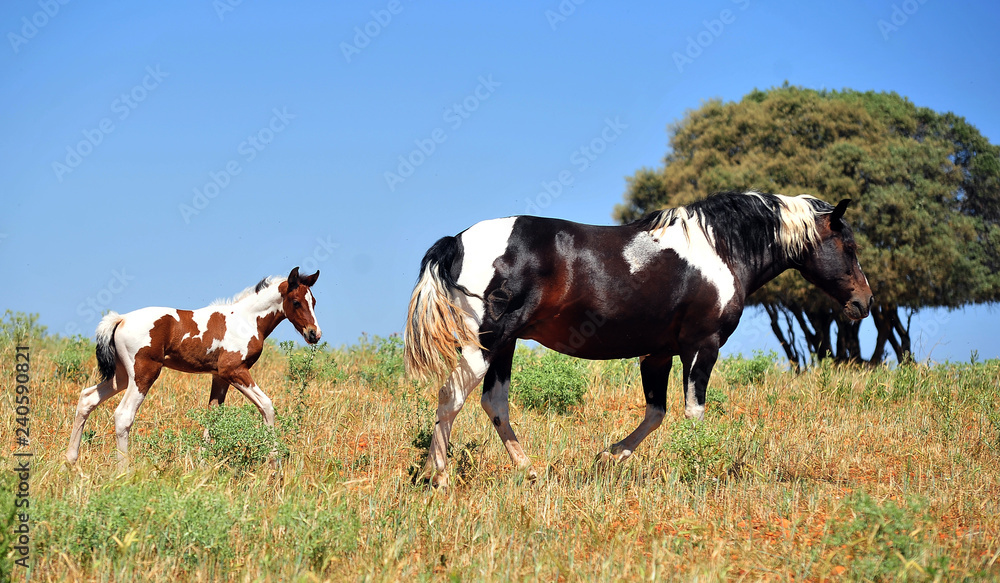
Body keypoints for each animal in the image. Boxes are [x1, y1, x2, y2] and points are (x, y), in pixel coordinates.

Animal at [66, 267, 321, 468]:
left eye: (314, 302)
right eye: (296, 302)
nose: (314, 334)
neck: (246, 320)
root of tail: (121, 319)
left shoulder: (220, 377)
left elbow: (212, 415)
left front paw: (201, 464)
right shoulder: (234, 371)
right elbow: (267, 406)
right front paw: (274, 462)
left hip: (122, 376)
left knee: (87, 398)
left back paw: (70, 460)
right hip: (143, 374)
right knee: (123, 415)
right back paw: (124, 471)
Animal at [403, 191, 874, 487]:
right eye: (848, 246)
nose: (864, 302)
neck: (720, 249)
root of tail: (457, 243)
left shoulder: (657, 354)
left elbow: (655, 414)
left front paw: (607, 457)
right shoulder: (702, 346)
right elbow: (692, 412)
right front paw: (696, 465)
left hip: (504, 343)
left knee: (493, 403)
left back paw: (530, 471)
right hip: (485, 341)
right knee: (452, 399)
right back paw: (437, 477)